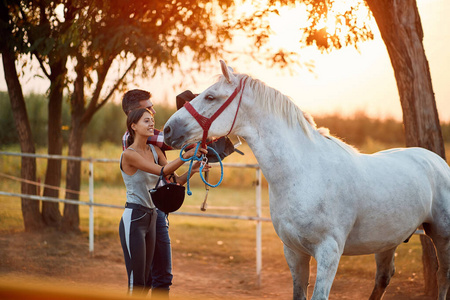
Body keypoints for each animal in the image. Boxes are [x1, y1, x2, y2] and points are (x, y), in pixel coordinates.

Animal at [163, 59, 450, 298]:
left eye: (210, 96)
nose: (167, 130)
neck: (303, 174)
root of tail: (437, 161)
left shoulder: (329, 253)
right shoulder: (294, 252)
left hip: (442, 236)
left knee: (442, 277)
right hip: (387, 241)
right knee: (383, 278)